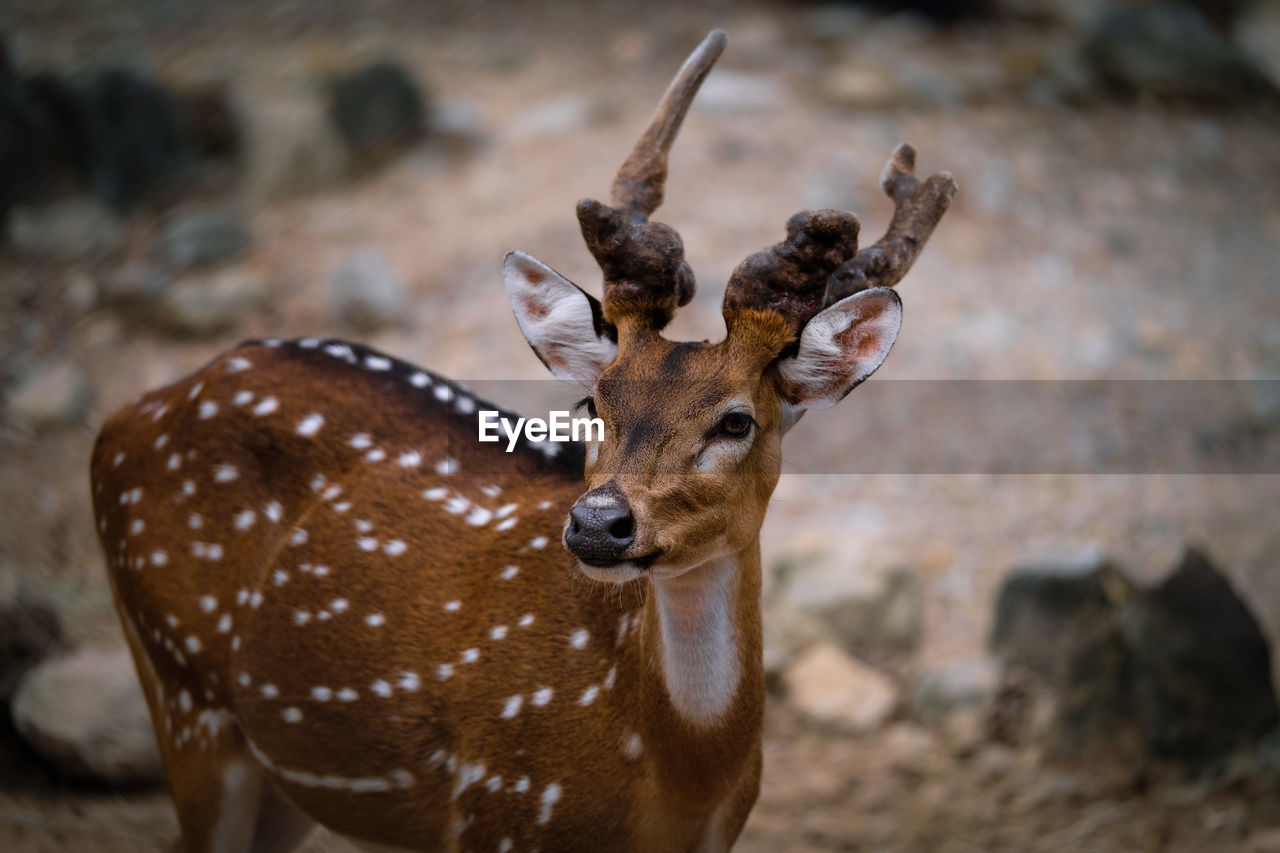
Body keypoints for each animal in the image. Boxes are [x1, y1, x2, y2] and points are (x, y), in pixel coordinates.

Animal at [90, 29, 957, 850]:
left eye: (737, 419)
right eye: (592, 400)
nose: (599, 522)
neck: (676, 786)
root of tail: (129, 412)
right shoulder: (502, 814)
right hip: (182, 689)